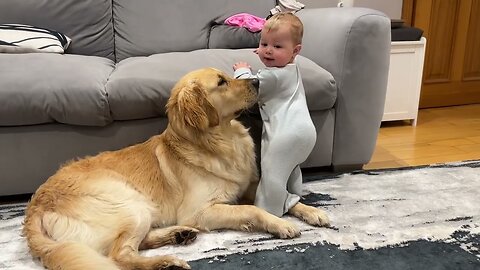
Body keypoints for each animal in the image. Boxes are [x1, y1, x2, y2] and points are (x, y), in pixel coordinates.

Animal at [23, 68, 330, 270]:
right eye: (221, 82)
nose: (256, 81)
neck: (219, 140)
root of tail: (34, 206)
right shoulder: (200, 211)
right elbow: (252, 210)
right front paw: (280, 224)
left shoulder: (249, 184)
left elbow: (288, 198)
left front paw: (312, 212)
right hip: (130, 204)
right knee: (120, 255)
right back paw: (167, 262)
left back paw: (178, 235)